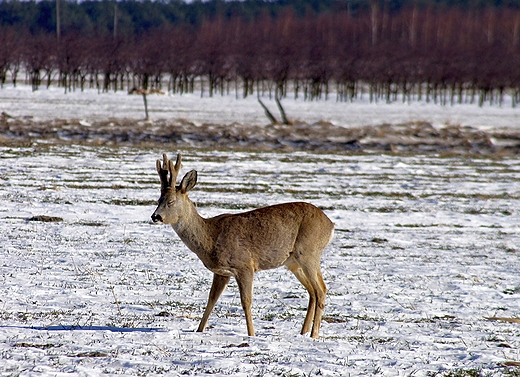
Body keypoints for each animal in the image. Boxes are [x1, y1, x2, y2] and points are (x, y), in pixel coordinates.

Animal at [152, 153, 336, 338]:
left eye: (171, 202)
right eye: (158, 199)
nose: (155, 217)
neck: (210, 238)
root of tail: (330, 225)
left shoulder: (245, 265)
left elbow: (246, 301)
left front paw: (252, 334)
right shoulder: (221, 272)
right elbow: (212, 299)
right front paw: (199, 330)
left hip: (308, 252)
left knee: (321, 290)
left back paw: (314, 334)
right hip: (293, 262)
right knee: (313, 291)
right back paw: (303, 332)